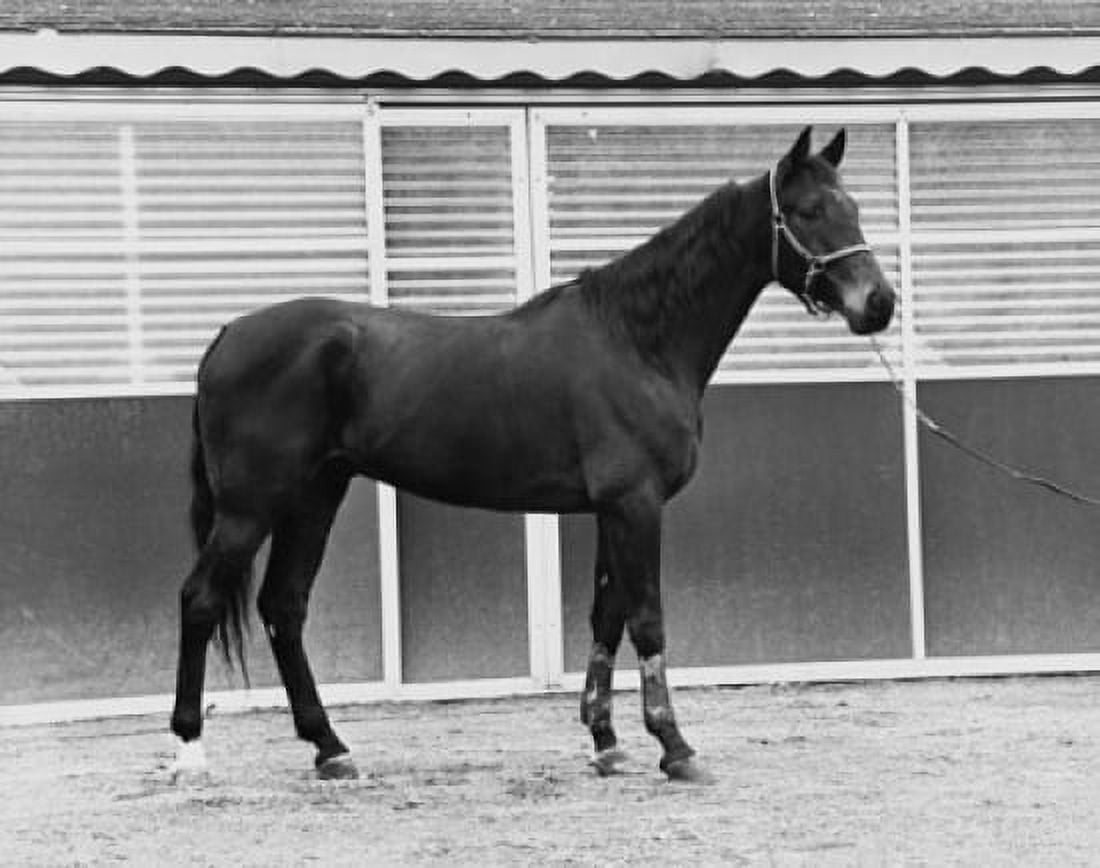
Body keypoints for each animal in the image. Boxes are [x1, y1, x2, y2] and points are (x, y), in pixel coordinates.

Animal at [168, 126, 895, 785]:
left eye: (852, 206)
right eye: (807, 211)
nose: (880, 303)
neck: (636, 340)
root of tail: (228, 335)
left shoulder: (612, 509)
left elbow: (607, 617)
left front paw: (606, 742)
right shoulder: (635, 504)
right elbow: (647, 620)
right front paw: (675, 747)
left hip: (315, 497)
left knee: (284, 608)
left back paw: (331, 748)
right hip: (250, 509)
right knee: (201, 599)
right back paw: (189, 751)